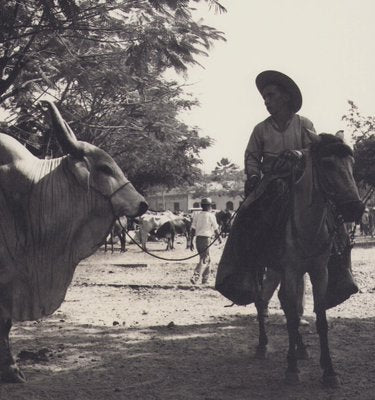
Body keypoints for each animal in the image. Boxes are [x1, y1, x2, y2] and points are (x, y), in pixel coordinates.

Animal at [254, 134, 366, 388]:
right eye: (327, 164)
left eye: (351, 164)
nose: (356, 208)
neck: (308, 228)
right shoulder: (290, 270)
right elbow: (291, 317)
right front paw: (292, 369)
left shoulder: (318, 271)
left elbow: (320, 318)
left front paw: (329, 371)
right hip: (275, 270)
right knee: (263, 300)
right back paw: (263, 345)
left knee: (287, 304)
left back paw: (300, 349)